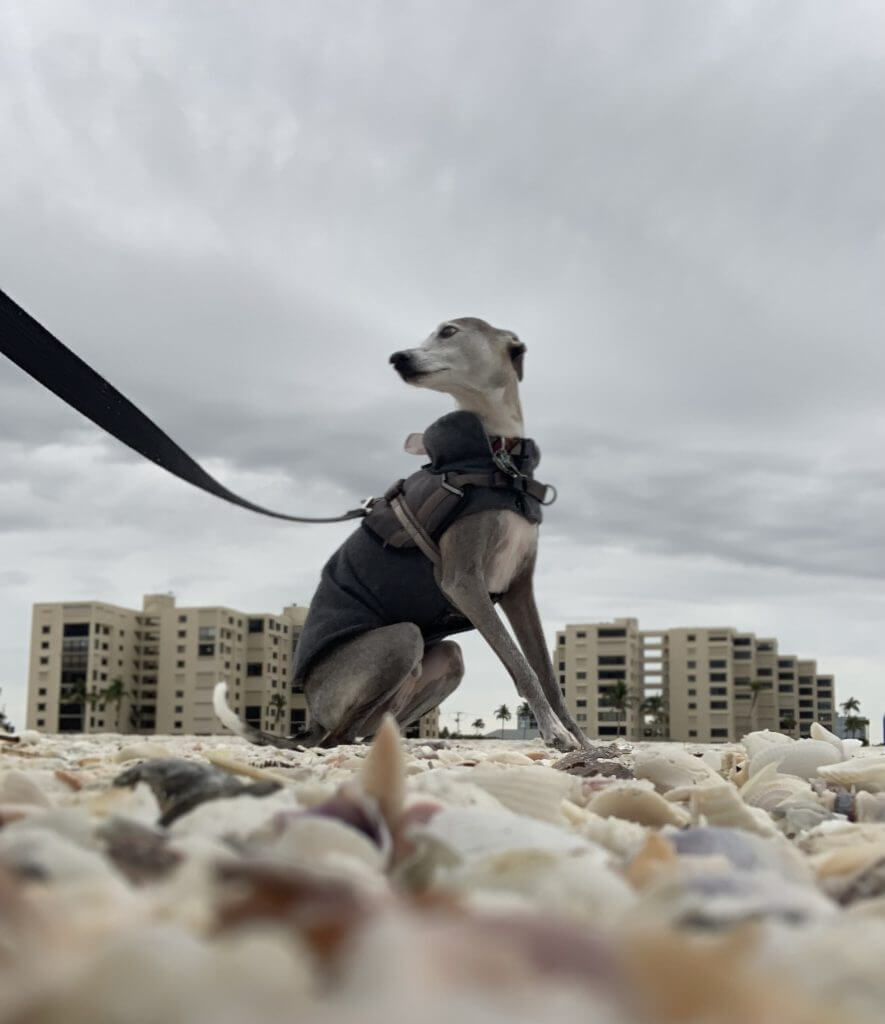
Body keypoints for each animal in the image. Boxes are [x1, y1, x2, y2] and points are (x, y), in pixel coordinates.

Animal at [214, 315, 585, 749]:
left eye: (449, 331)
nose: (398, 358)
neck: (499, 458)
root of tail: (312, 718)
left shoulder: (519, 589)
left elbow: (546, 671)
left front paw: (583, 739)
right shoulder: (463, 582)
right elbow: (521, 665)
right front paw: (555, 733)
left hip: (447, 660)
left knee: (369, 727)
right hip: (401, 640)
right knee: (338, 736)